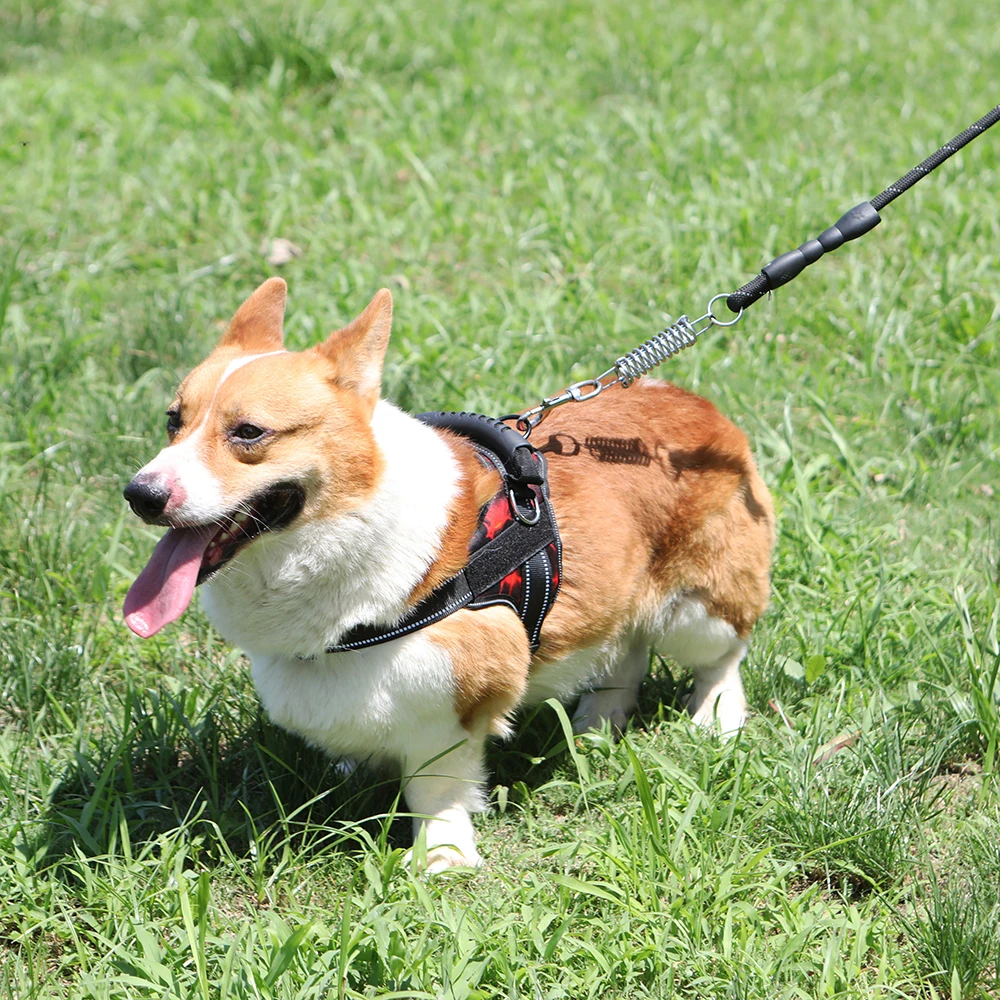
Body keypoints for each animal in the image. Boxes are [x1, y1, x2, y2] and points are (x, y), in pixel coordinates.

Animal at [123, 278, 773, 871]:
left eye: (249, 432)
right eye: (172, 420)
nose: (140, 495)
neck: (348, 519)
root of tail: (694, 403)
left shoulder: (453, 695)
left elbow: (436, 787)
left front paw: (442, 859)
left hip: (698, 610)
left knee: (722, 655)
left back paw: (715, 718)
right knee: (624, 651)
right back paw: (594, 725)